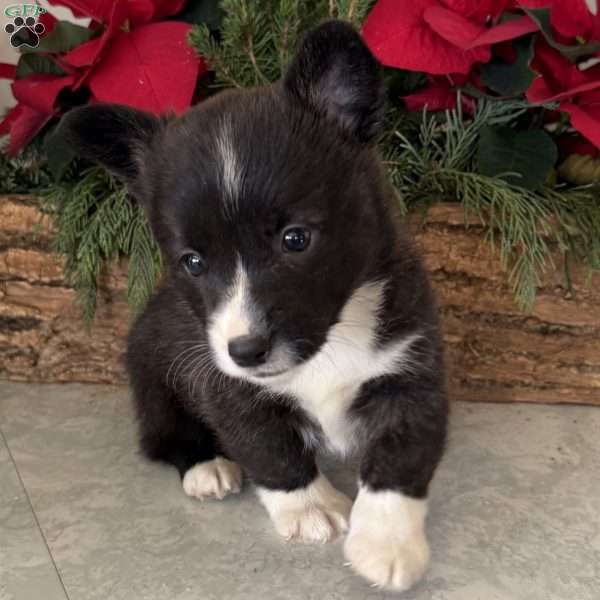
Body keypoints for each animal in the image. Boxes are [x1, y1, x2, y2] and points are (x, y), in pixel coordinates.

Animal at [61, 21, 448, 592]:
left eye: (296, 238)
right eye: (193, 262)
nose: (246, 351)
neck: (330, 343)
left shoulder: (410, 372)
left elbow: (400, 459)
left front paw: (386, 545)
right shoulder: (228, 387)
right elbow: (270, 448)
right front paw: (311, 509)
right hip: (153, 380)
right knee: (163, 437)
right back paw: (207, 467)